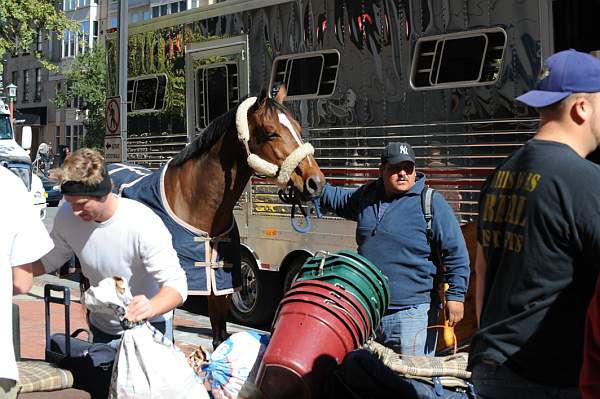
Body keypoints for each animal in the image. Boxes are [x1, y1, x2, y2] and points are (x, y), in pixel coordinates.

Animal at [108, 88, 324, 350]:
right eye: (271, 132)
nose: (315, 182)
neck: (195, 205)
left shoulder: (220, 287)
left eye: (298, 128)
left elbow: (220, 338)